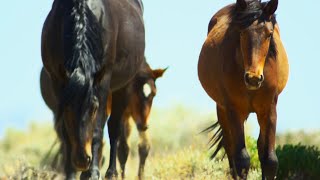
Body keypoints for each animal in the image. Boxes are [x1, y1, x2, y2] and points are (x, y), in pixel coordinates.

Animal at [39, 0, 145, 178]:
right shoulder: (58, 81)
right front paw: (71, 173)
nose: (82, 160)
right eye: (67, 109)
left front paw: (94, 173)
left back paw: (110, 172)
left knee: (114, 126)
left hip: (122, 86)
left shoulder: (103, 80)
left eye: (94, 108)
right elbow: (65, 133)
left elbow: (97, 129)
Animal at [199, 0, 288, 179]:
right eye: (241, 33)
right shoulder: (234, 110)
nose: (253, 78)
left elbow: (270, 159)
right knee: (230, 148)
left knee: (260, 146)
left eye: (269, 34)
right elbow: (241, 159)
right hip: (222, 110)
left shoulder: (269, 110)